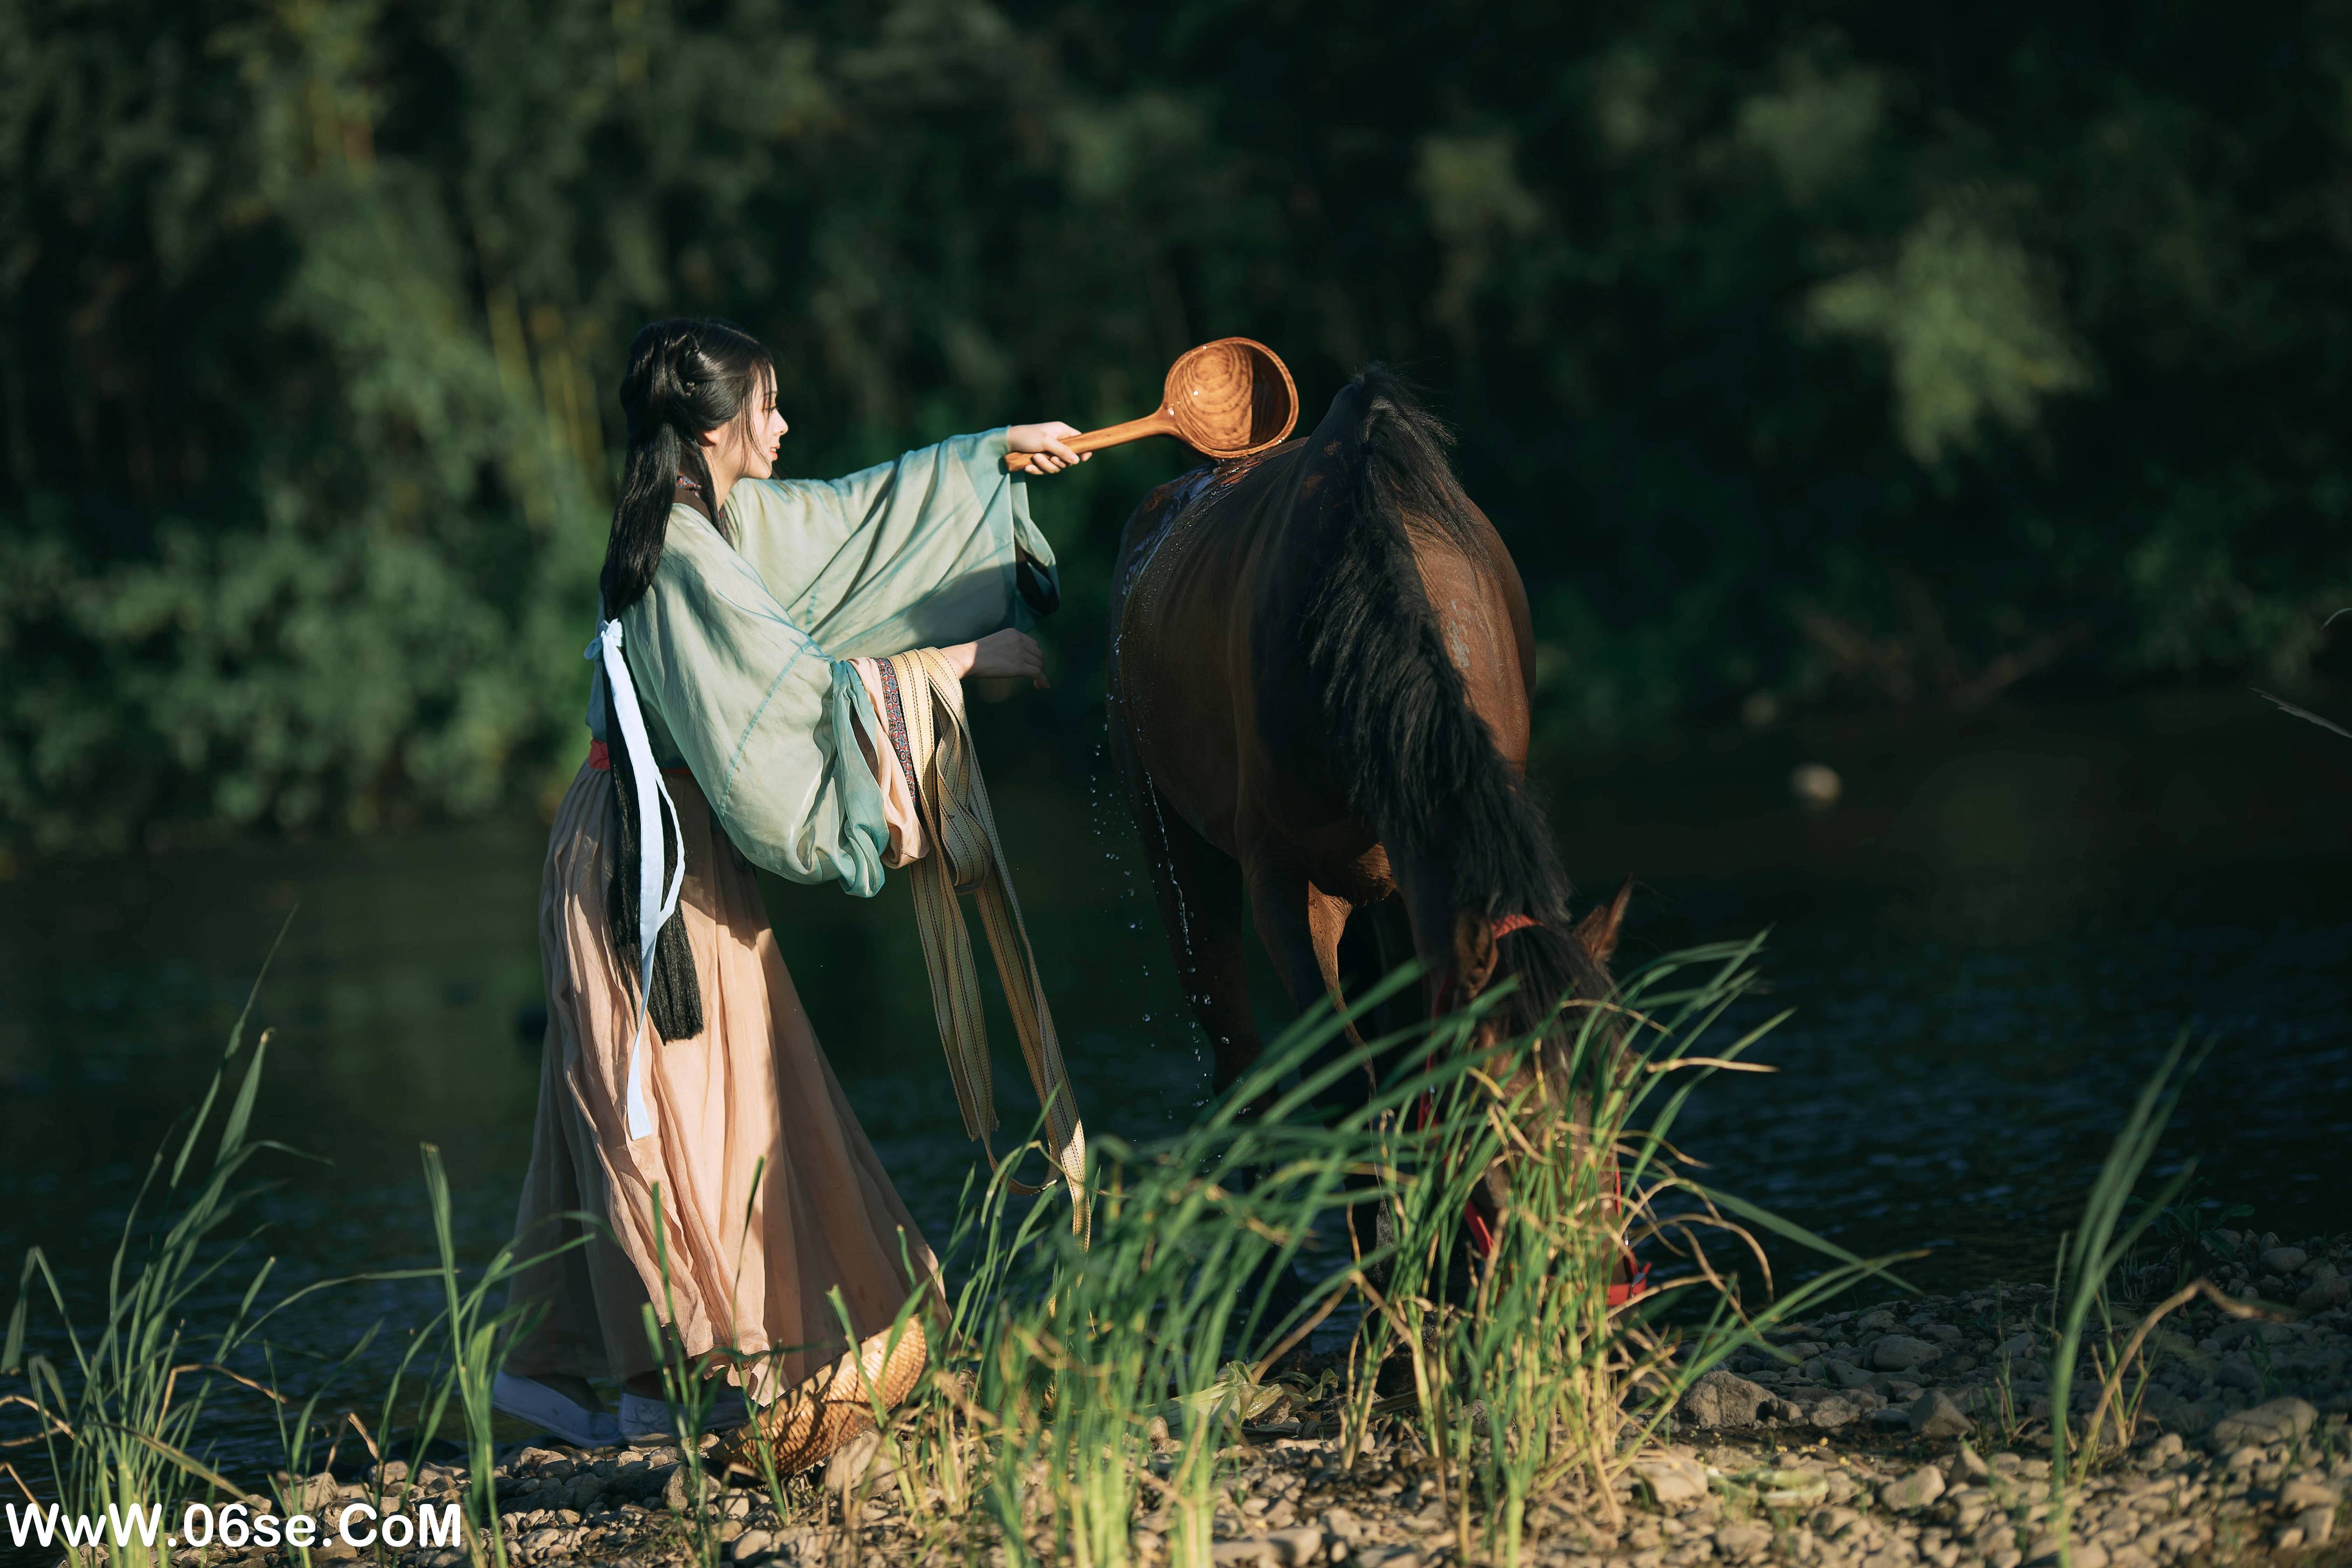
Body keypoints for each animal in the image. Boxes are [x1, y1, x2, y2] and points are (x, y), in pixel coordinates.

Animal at [1105, 365, 1628, 1136]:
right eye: (1501, 1110)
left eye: (1614, 1097)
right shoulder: (1287, 881)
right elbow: (1347, 1087)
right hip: (1172, 837)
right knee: (1237, 1060)